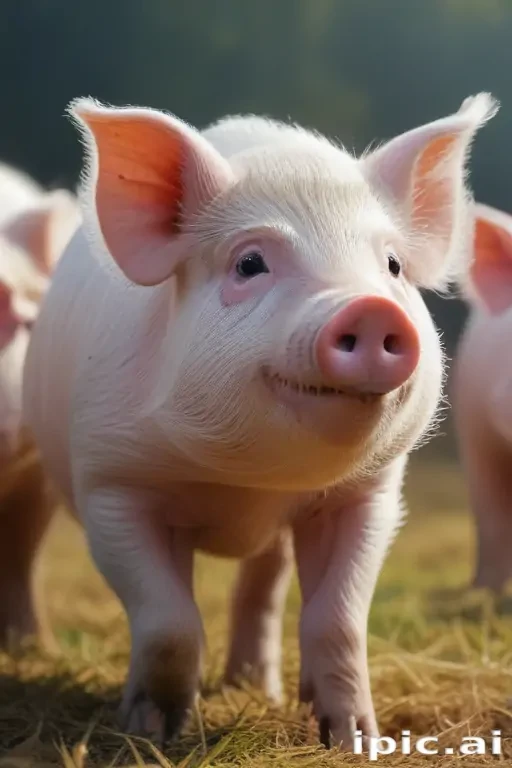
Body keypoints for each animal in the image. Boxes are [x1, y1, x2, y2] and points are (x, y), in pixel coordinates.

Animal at [22, 92, 497, 749]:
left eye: (394, 266)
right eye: (250, 263)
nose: (370, 308)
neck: (249, 484)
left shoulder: (369, 496)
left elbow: (337, 620)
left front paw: (354, 740)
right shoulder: (113, 486)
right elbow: (169, 618)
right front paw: (151, 734)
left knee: (264, 584)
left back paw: (257, 690)